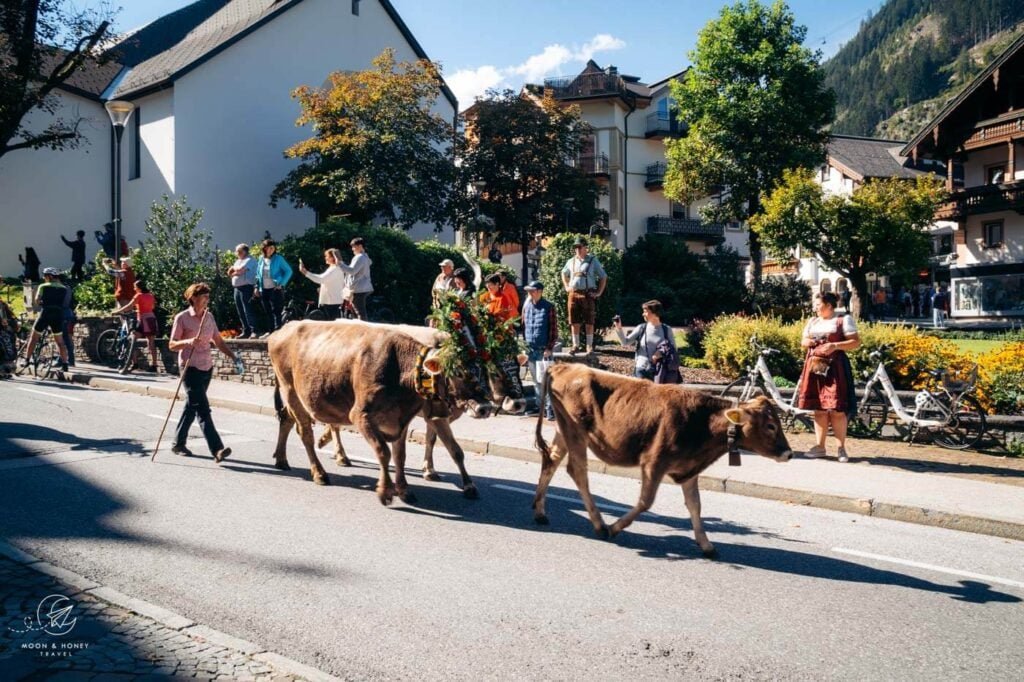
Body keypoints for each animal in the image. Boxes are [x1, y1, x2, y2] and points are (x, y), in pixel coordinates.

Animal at [270, 317, 493, 499]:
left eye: (483, 370)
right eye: (458, 372)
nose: (485, 407)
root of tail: (282, 329)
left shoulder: (407, 419)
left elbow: (405, 454)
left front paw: (408, 487)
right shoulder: (361, 415)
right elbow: (385, 451)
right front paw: (389, 489)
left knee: (289, 419)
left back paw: (282, 459)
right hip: (291, 391)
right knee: (305, 432)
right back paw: (320, 472)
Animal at [532, 364, 794, 557]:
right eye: (770, 426)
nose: (789, 453)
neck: (702, 423)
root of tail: (564, 365)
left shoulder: (688, 469)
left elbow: (695, 505)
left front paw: (706, 544)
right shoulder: (653, 462)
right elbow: (645, 502)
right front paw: (616, 527)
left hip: (564, 430)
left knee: (551, 460)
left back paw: (540, 512)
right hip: (575, 431)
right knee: (577, 470)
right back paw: (600, 524)